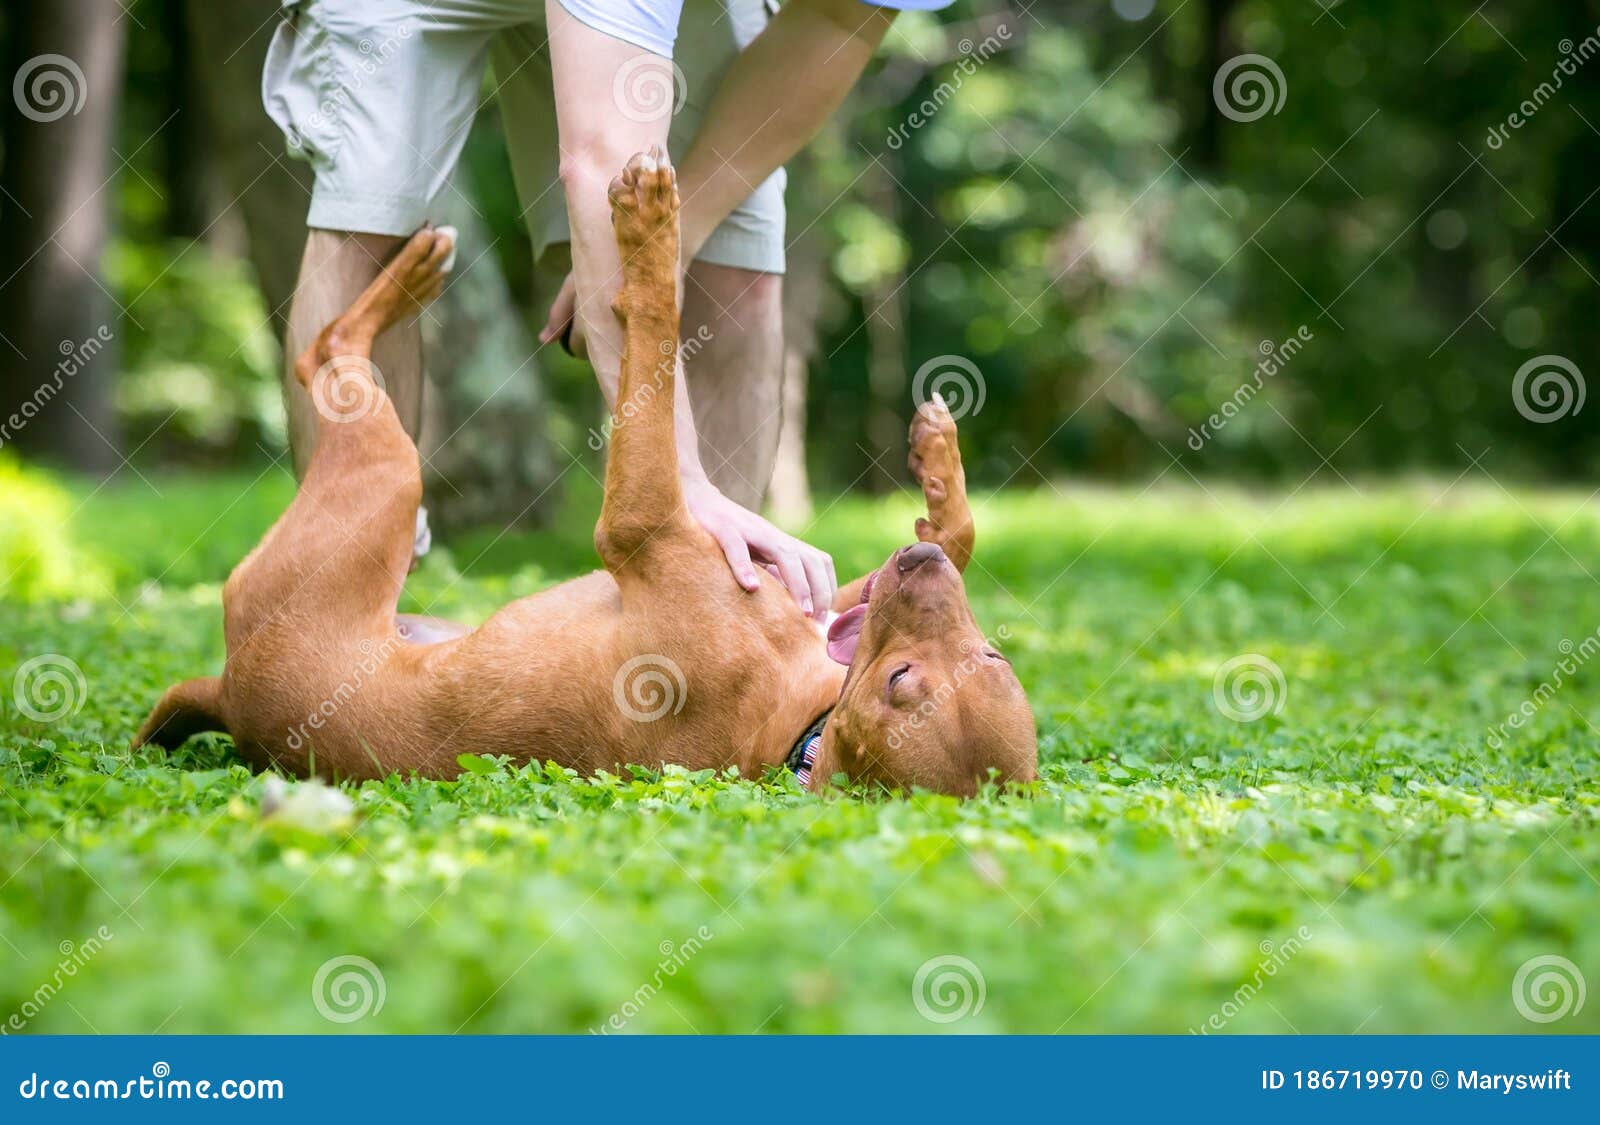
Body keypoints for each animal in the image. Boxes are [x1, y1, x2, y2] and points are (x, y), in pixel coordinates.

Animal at [134, 149, 1036, 796]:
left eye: (904, 681)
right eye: (996, 655)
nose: (916, 563)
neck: (793, 727)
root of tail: (231, 693)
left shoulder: (644, 523)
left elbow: (656, 324)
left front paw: (651, 229)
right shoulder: (818, 596)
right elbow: (956, 533)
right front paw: (938, 462)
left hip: (383, 482)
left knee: (324, 354)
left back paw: (415, 275)